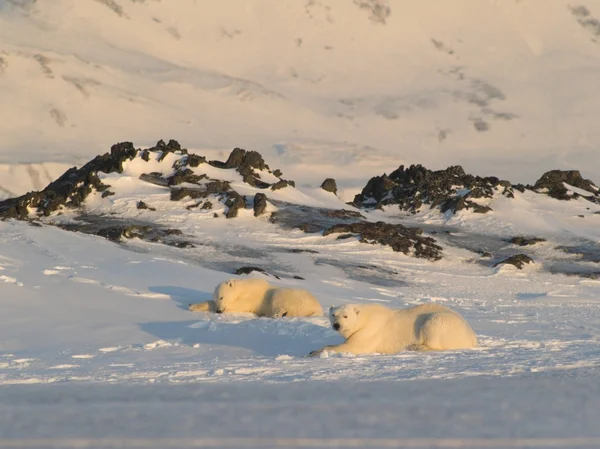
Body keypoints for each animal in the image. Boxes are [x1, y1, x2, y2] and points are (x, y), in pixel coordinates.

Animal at [190, 278, 326, 316]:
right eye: (216, 297)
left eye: (222, 297)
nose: (219, 311)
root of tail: (318, 308)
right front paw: (192, 305)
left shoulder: (251, 299)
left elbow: (238, 306)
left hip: (290, 295)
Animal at [310, 300, 478, 356]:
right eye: (334, 315)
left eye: (345, 316)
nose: (336, 325)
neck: (366, 317)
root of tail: (472, 336)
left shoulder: (369, 331)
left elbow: (354, 346)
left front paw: (314, 352)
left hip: (440, 321)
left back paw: (417, 346)